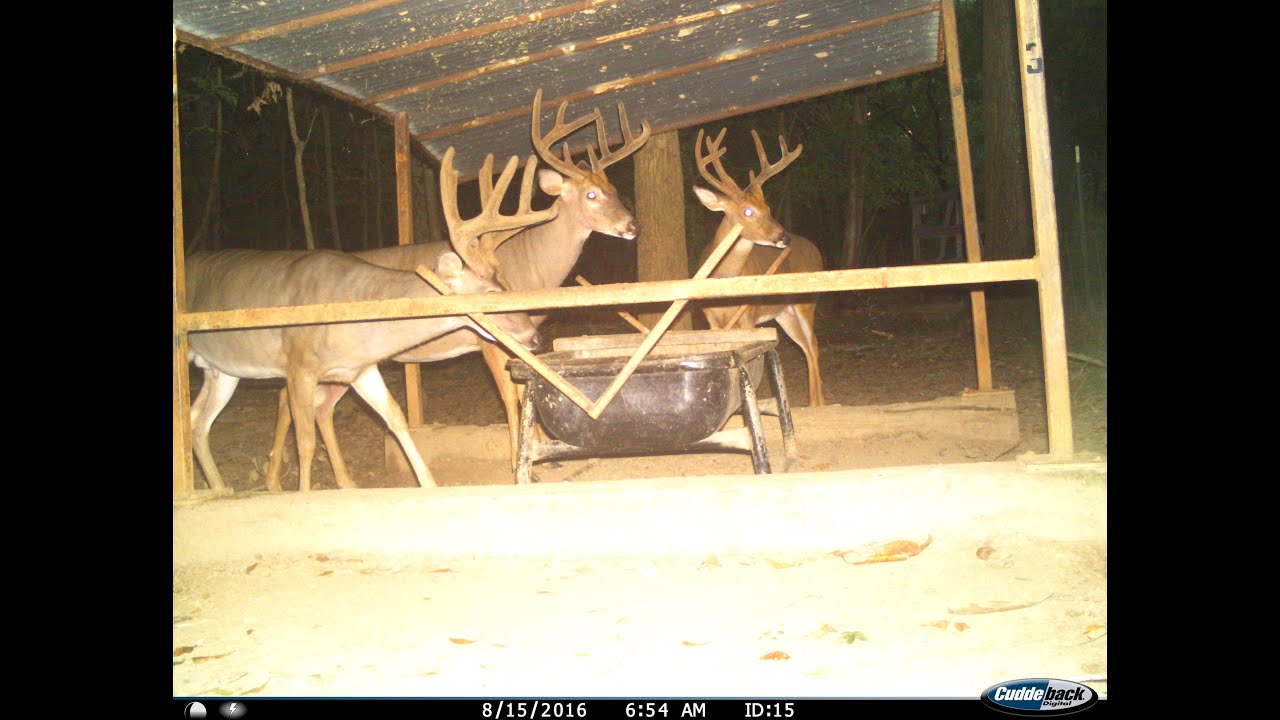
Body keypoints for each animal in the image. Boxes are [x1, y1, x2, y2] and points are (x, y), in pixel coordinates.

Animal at [186, 149, 556, 493]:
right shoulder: (298, 365)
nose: (536, 338)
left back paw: (221, 489)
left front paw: (430, 486)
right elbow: (305, 442)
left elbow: (396, 418)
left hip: (221, 370)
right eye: (491, 293)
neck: (353, 317)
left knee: (196, 421)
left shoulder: (361, 368)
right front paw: (302, 494)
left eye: (508, 284)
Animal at [263, 89, 651, 488]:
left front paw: (544, 455)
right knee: (292, 397)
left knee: (302, 400)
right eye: (591, 195)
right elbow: (509, 393)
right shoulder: (488, 338)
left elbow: (525, 386)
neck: (531, 266)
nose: (632, 226)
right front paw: (520, 464)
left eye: (613, 188)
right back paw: (277, 479)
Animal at [691, 127, 826, 407]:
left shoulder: (749, 316)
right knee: (806, 345)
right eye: (748, 211)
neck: (723, 278)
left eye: (768, 207)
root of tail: (815, 249)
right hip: (784, 313)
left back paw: (817, 403)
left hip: (806, 302)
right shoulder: (712, 321)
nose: (783, 237)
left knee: (814, 344)